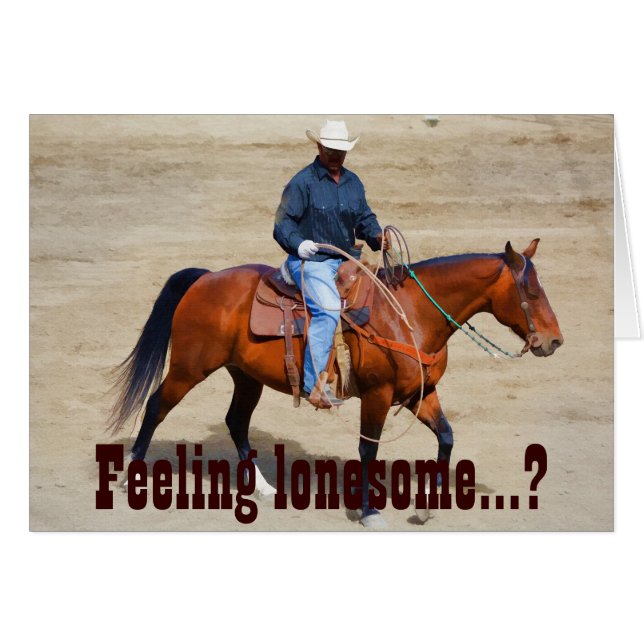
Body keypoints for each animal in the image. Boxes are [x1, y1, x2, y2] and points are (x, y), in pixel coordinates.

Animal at [108, 239, 563, 527]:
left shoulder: (421, 394)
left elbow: (447, 437)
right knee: (156, 406)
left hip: (246, 377)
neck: (409, 315)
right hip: (190, 368)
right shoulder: (377, 395)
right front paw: (368, 511)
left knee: (236, 422)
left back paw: (264, 489)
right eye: (531, 292)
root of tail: (205, 278)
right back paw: (132, 474)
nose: (554, 341)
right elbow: (367, 449)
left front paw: (426, 508)